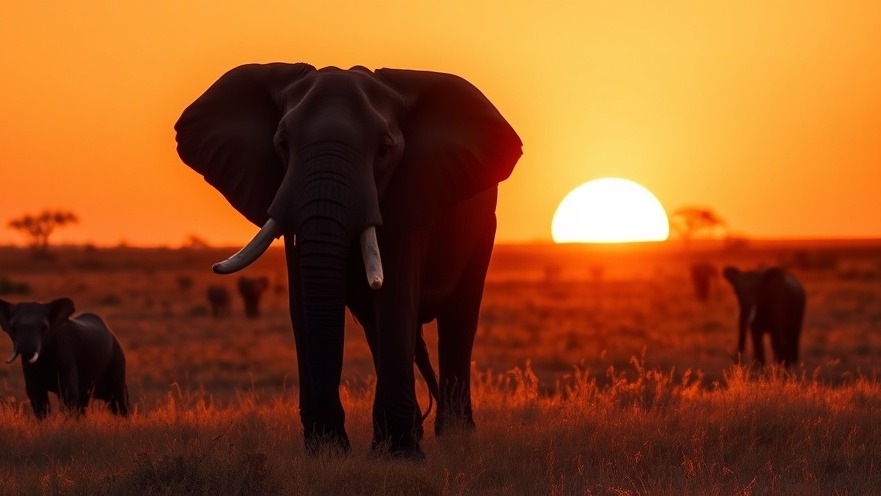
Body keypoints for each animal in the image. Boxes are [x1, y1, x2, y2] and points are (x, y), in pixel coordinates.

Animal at [0, 298, 129, 418]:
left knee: (119, 397)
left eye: (44, 328)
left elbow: (69, 392)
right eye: (13, 328)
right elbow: (36, 394)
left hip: (117, 359)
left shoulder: (66, 351)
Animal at [177, 64, 524, 460]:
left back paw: (454, 437)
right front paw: (326, 453)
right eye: (282, 144)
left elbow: (395, 299)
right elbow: (303, 306)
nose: (334, 444)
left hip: (483, 231)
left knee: (458, 318)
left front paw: (399, 457)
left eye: (385, 149)